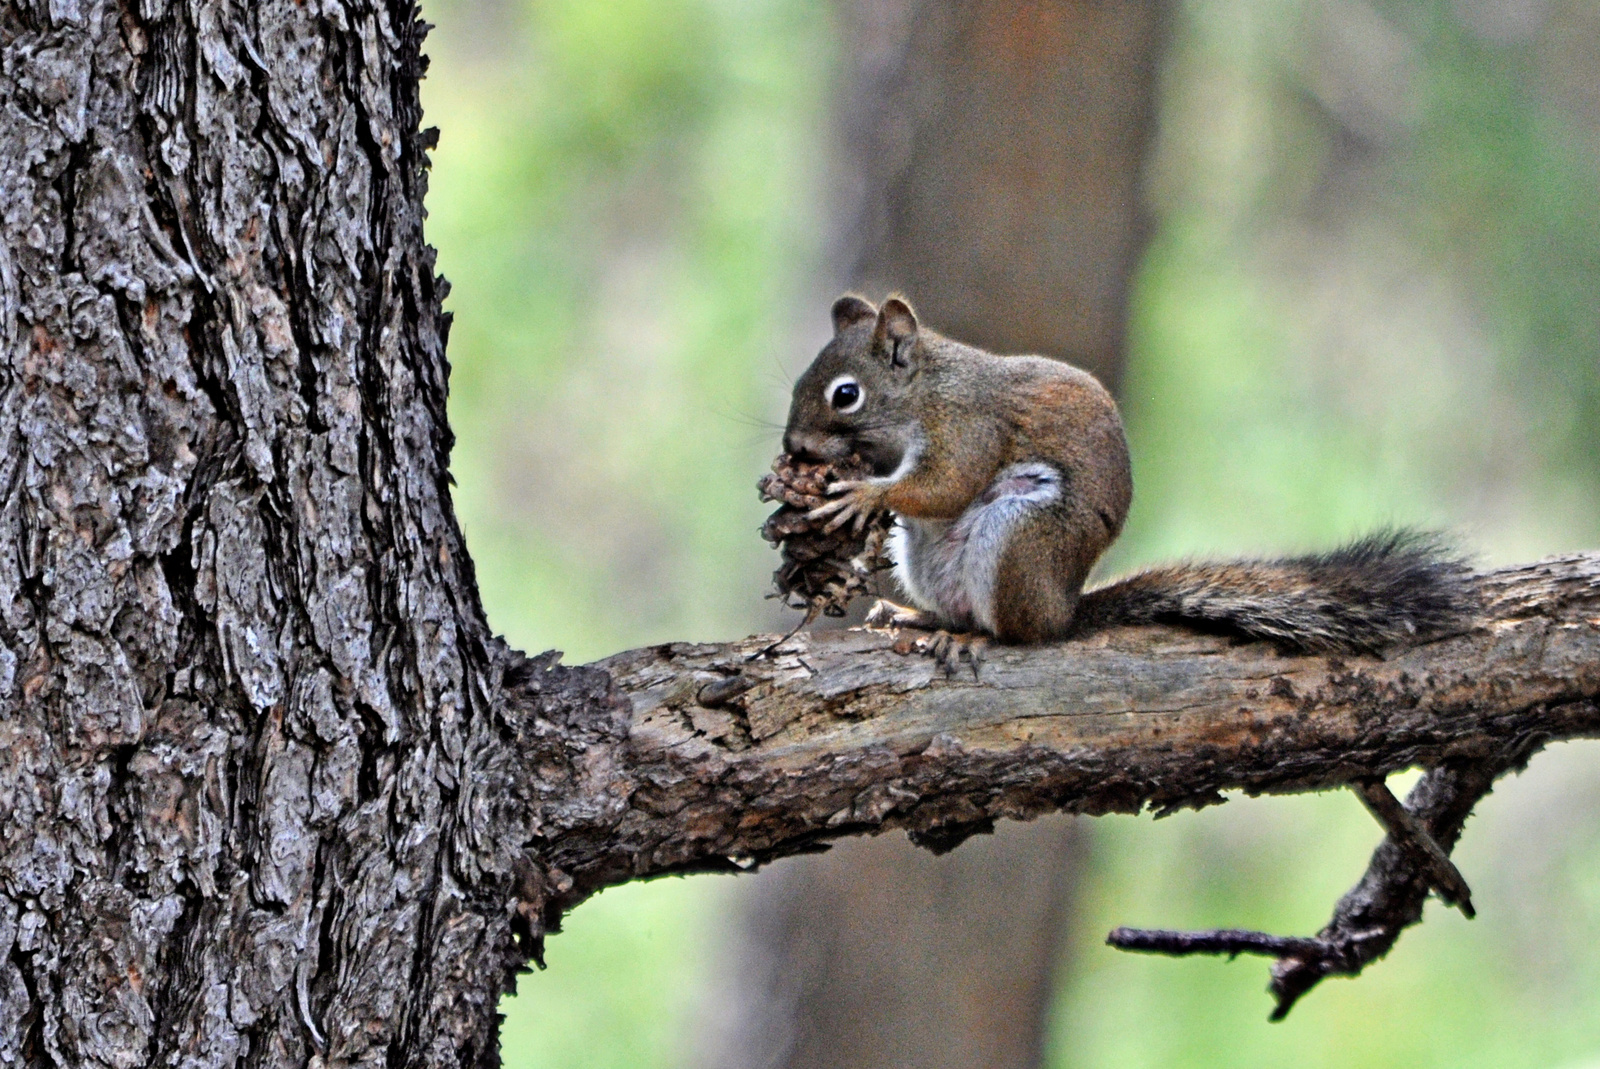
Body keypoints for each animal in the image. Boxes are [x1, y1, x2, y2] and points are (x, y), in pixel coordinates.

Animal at [780, 294, 1478, 659]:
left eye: (846, 395)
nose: (793, 446)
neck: (926, 391)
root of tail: (1064, 609)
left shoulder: (969, 429)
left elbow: (947, 482)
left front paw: (862, 494)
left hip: (1020, 535)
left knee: (1014, 633)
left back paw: (977, 638)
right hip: (928, 557)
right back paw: (923, 619)